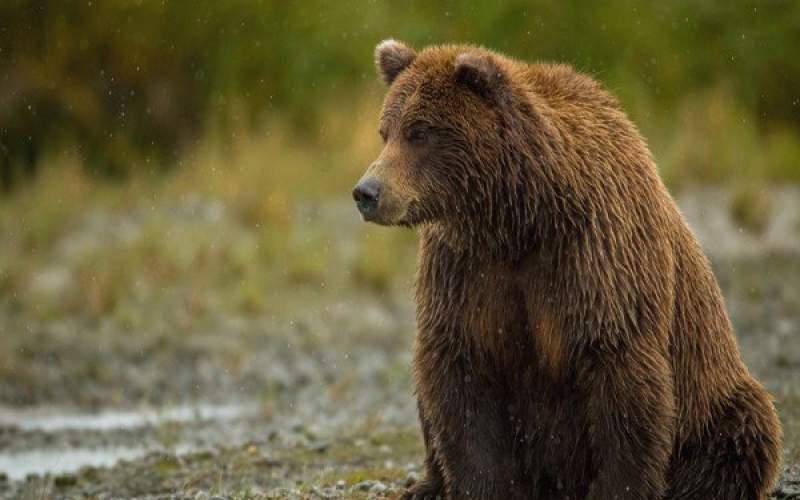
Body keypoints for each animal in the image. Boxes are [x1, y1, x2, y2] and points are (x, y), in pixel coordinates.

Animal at [352, 40, 780, 500]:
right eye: (385, 132)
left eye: (420, 132)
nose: (367, 192)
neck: (519, 219)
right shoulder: (465, 270)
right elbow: (461, 380)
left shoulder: (597, 260)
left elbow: (622, 383)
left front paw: (618, 487)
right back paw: (425, 486)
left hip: (713, 399)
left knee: (740, 431)